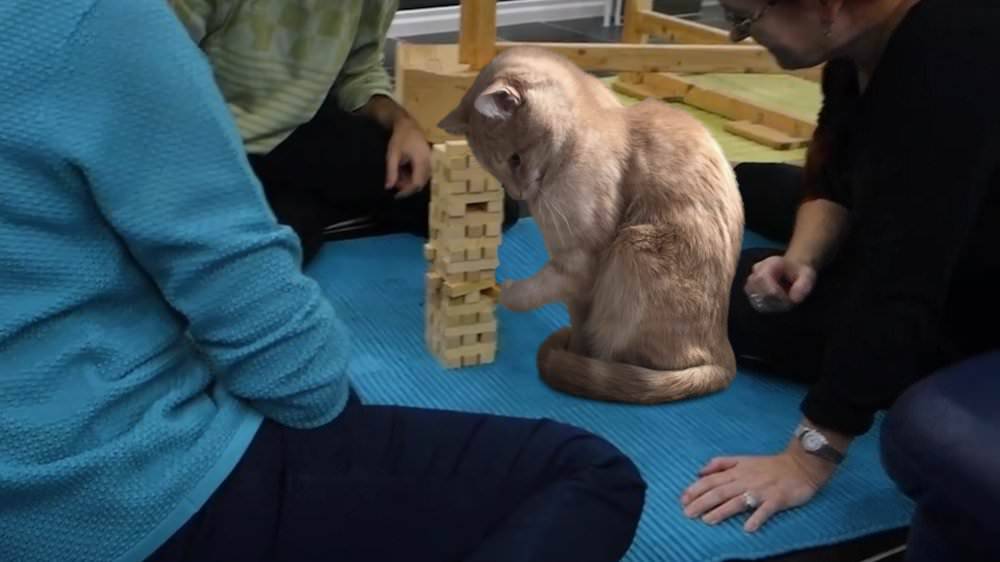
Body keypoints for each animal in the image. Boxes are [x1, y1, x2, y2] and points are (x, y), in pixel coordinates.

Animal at [438, 46, 744, 404]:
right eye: (494, 170)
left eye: (515, 159)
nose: (517, 194)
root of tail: (724, 353)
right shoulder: (574, 283)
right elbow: (575, 319)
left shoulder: (578, 265)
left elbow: (533, 295)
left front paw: (507, 292)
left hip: (634, 248)